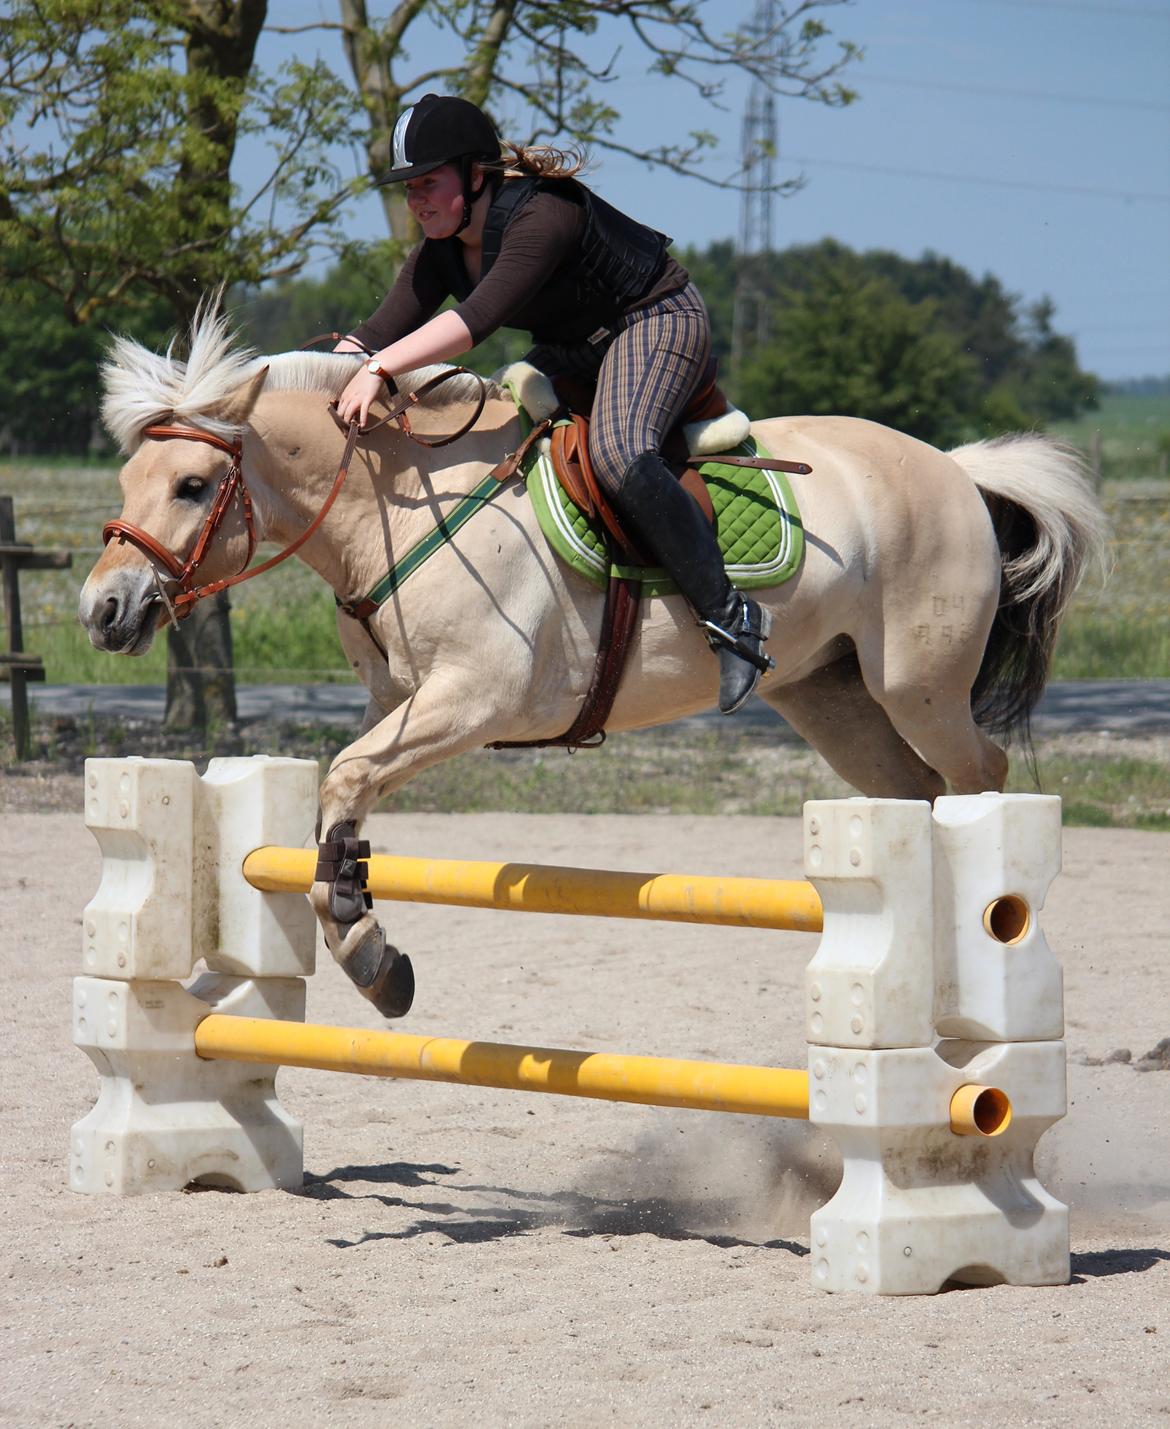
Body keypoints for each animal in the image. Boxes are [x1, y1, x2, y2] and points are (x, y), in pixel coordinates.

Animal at [80, 304, 1108, 1017]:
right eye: (128, 479)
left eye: (193, 484)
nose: (103, 610)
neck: (401, 508)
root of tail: (957, 468)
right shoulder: (399, 699)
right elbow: (347, 795)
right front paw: (368, 937)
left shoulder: (475, 700)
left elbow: (347, 776)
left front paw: (370, 953)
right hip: (834, 700)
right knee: (913, 792)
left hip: (919, 686)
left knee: (979, 775)